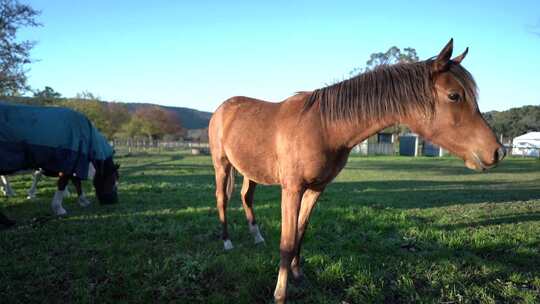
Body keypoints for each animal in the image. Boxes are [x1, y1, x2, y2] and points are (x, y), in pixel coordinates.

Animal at [209, 39, 504, 302]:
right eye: (454, 95)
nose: (497, 151)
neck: (323, 126)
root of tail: (223, 108)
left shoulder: (316, 189)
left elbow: (301, 233)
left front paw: (298, 275)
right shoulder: (292, 189)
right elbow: (287, 242)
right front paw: (280, 293)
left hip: (250, 171)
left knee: (246, 197)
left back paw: (257, 237)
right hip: (222, 165)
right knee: (222, 199)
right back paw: (226, 242)